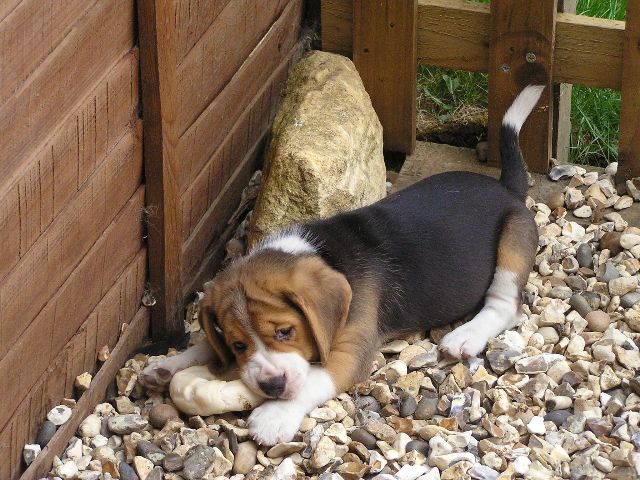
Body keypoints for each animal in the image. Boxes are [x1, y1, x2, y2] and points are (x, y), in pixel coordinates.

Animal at [144, 83, 544, 446]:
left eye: (285, 332)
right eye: (238, 345)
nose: (272, 384)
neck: (315, 251)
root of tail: (506, 188)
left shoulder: (350, 350)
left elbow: (314, 380)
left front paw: (274, 416)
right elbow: (208, 345)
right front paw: (170, 364)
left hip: (513, 241)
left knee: (505, 305)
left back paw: (466, 336)